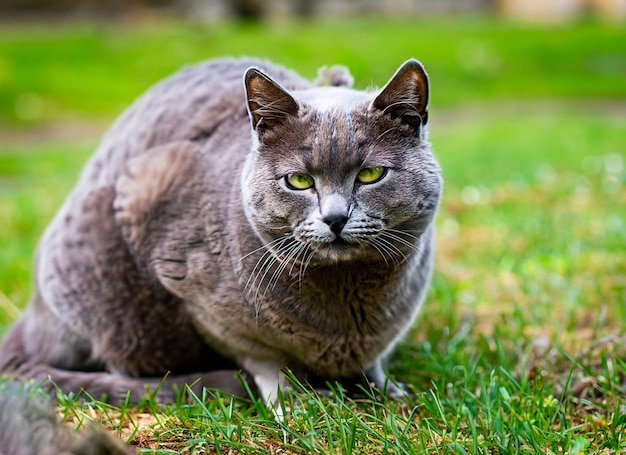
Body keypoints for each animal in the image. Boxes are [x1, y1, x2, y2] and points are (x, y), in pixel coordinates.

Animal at [0, 56, 438, 406]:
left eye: (370, 174)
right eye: (298, 181)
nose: (335, 218)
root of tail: (28, 319)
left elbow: (375, 363)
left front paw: (388, 392)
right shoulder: (193, 288)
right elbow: (266, 360)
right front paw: (297, 402)